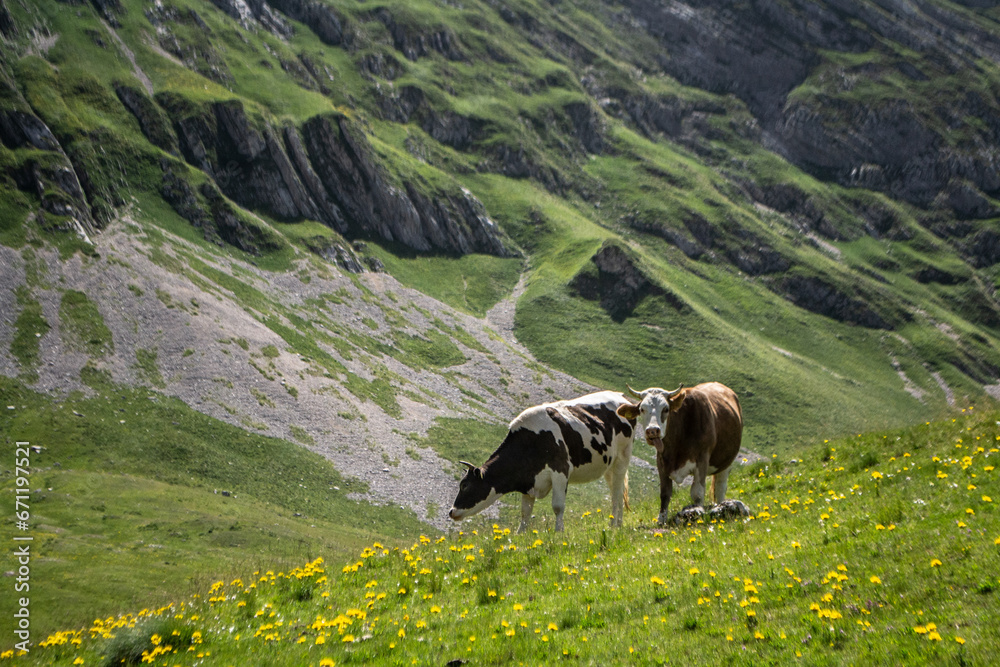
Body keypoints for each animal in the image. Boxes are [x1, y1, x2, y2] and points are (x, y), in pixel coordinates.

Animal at [450, 392, 636, 532]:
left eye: (465, 485)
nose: (452, 512)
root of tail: (621, 397)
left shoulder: (560, 471)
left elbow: (558, 506)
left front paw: (559, 532)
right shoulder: (529, 482)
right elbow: (525, 513)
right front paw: (520, 535)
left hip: (623, 457)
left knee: (617, 493)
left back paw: (615, 525)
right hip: (609, 466)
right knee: (617, 491)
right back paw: (616, 523)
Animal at [616, 384, 744, 524]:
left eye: (666, 409)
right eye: (642, 409)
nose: (652, 431)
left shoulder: (702, 460)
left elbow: (697, 493)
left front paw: (698, 512)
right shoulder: (661, 461)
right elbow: (665, 493)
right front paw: (661, 520)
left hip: (727, 462)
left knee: (721, 487)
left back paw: (722, 506)